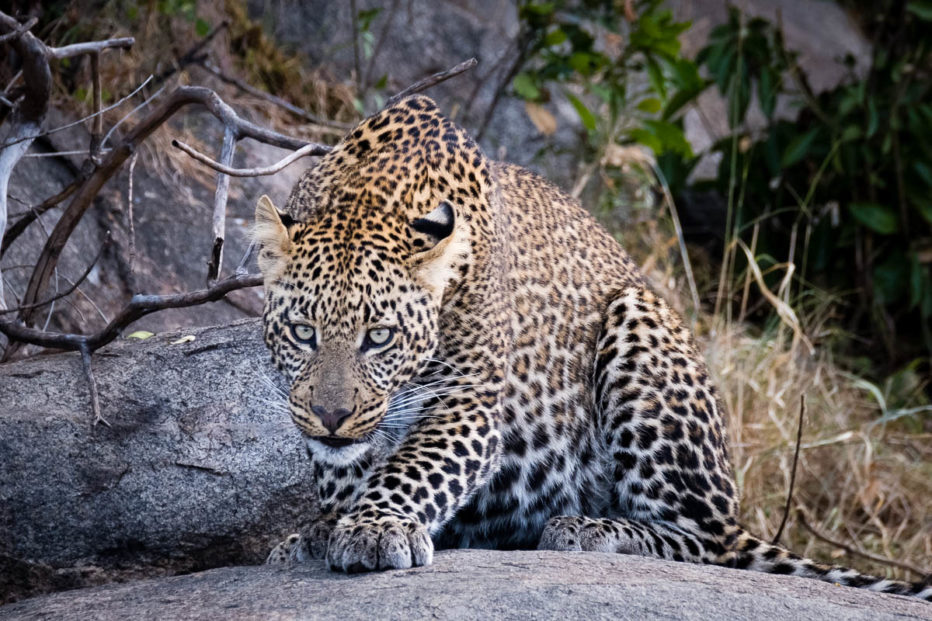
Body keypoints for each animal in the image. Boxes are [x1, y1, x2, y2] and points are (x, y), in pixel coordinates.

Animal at [251, 94, 928, 600]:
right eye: (304, 332)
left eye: (380, 337)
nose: (332, 417)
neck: (366, 194)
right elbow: (344, 470)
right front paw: (326, 525)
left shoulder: (468, 396)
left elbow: (419, 466)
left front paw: (373, 527)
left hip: (639, 322)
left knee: (705, 539)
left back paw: (589, 529)